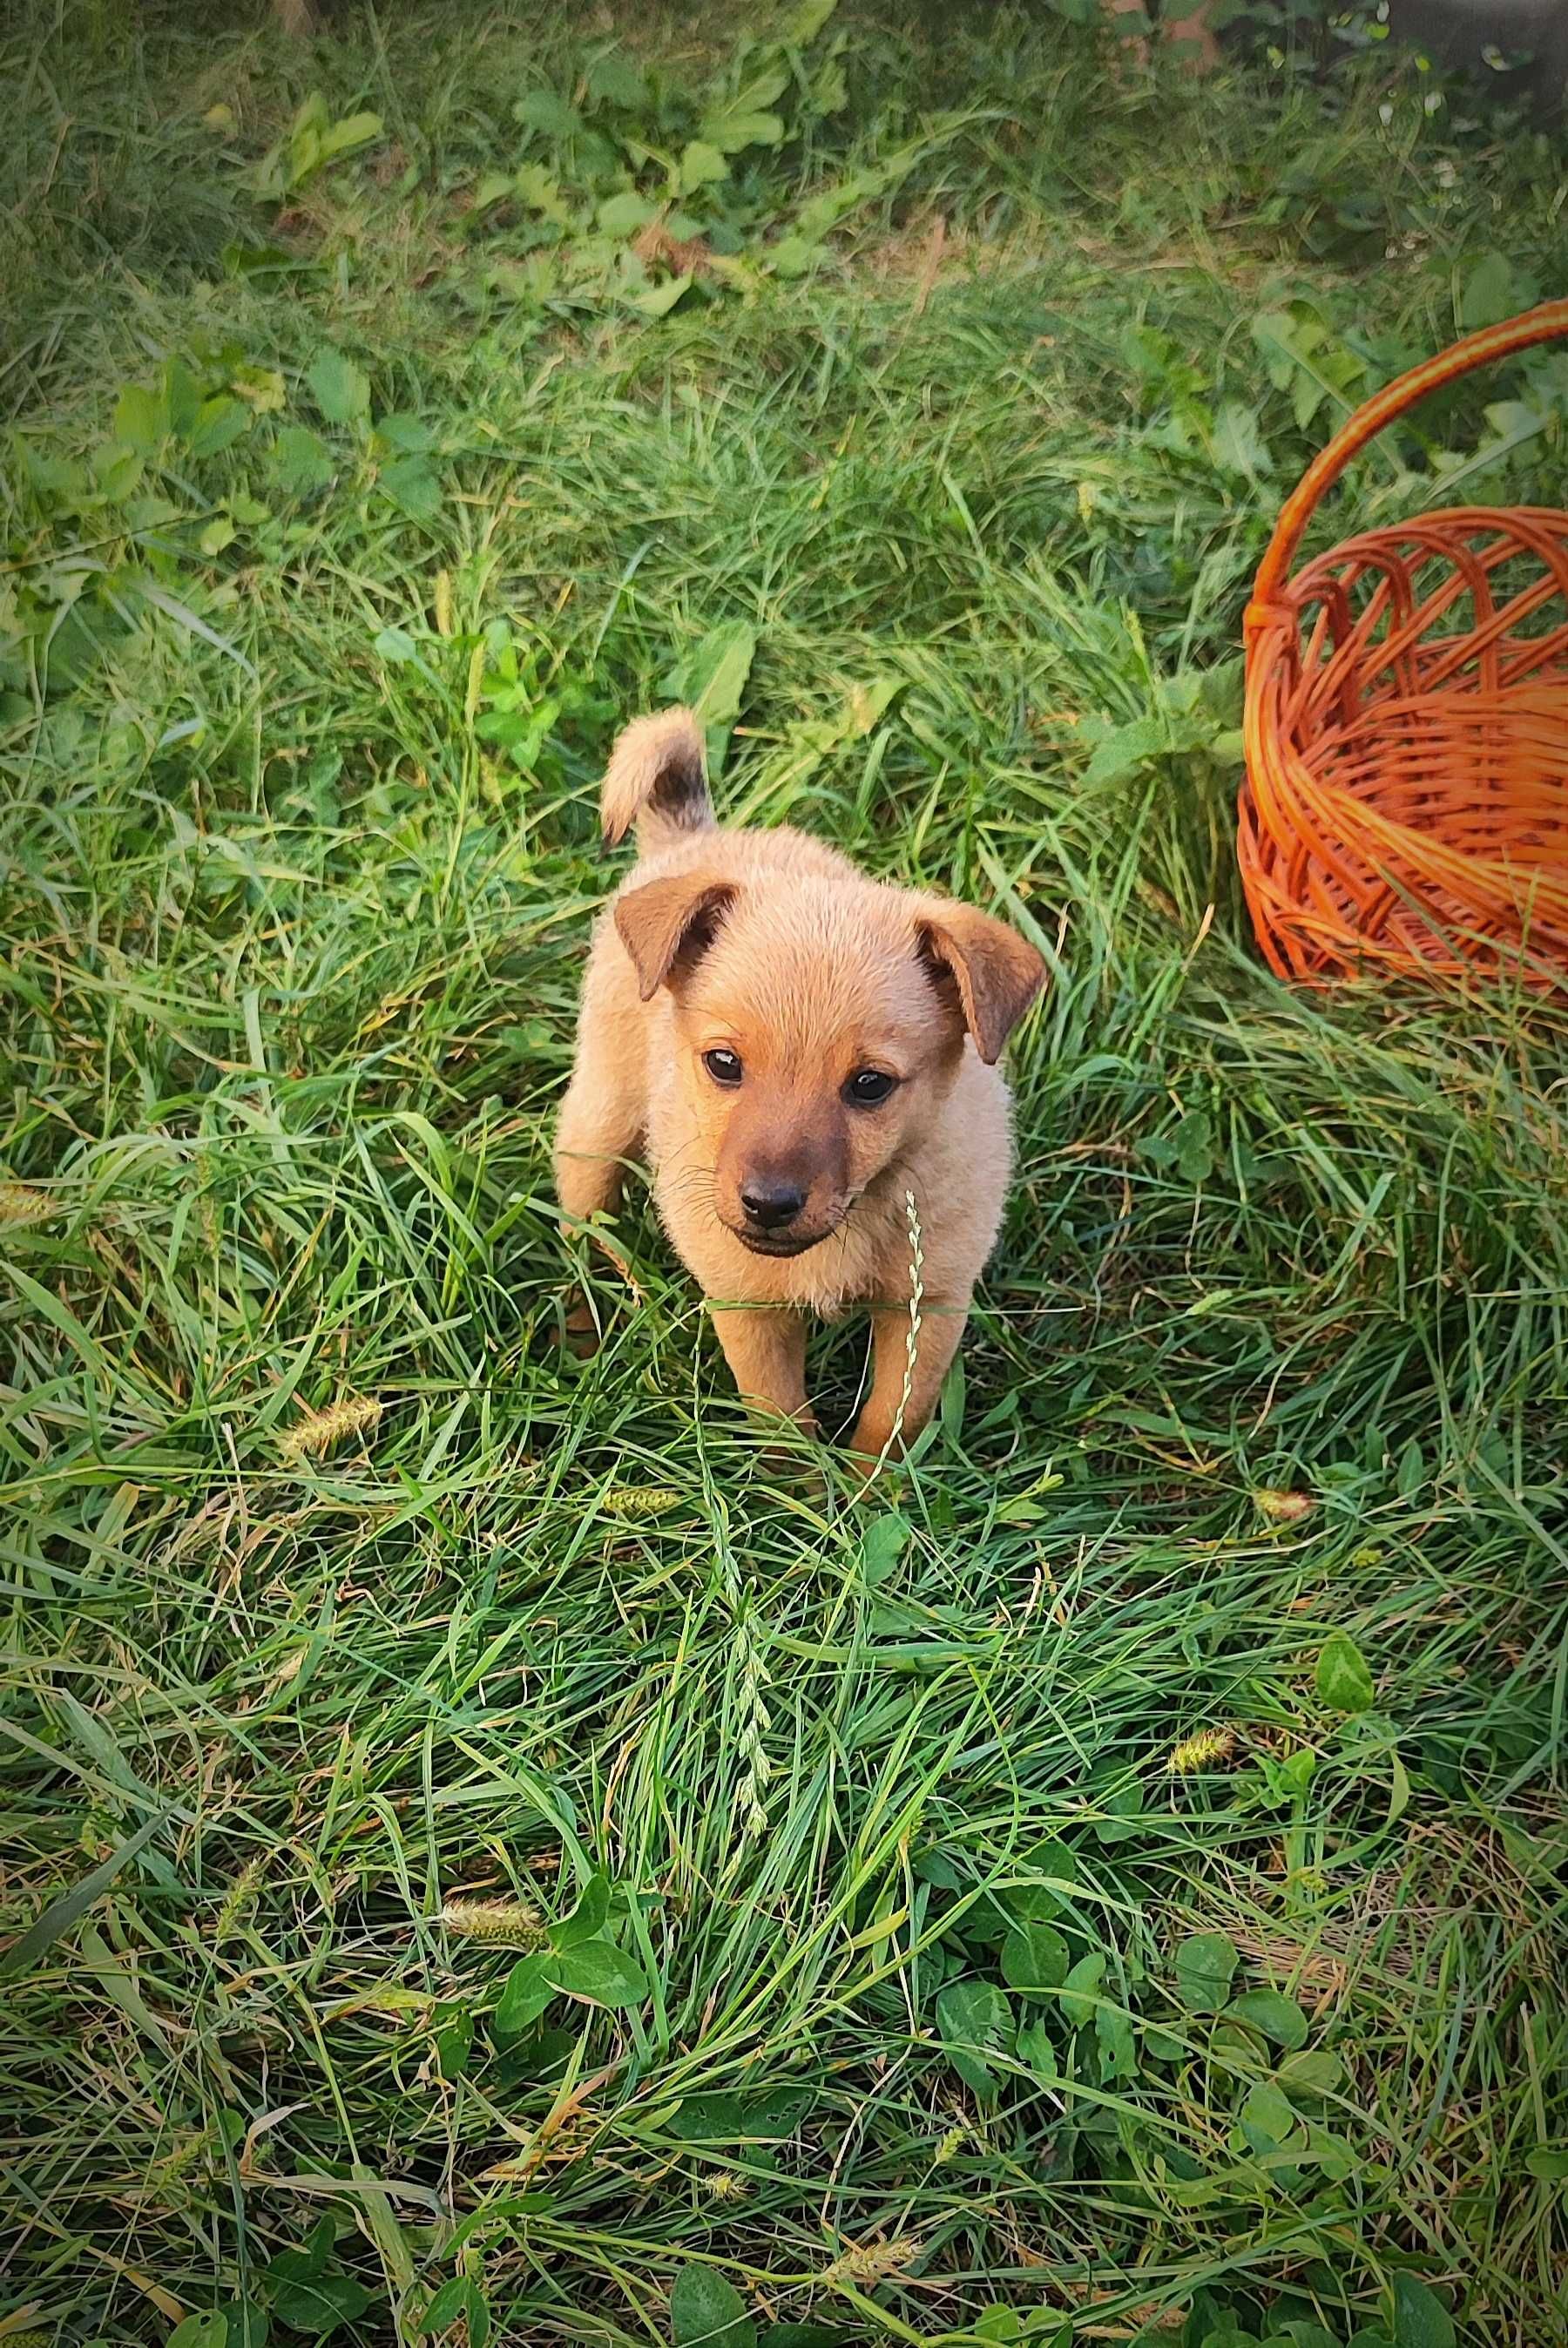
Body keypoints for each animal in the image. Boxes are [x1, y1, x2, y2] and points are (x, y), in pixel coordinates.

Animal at [556, 704, 1046, 1465]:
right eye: (723, 1063)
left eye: (870, 1084)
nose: (768, 1204)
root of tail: (697, 837)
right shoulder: (749, 1307)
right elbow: (783, 1424)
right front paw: (803, 1491)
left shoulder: (928, 1302)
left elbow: (892, 1421)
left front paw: (875, 1490)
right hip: (599, 1122)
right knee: (579, 1230)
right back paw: (581, 1334)